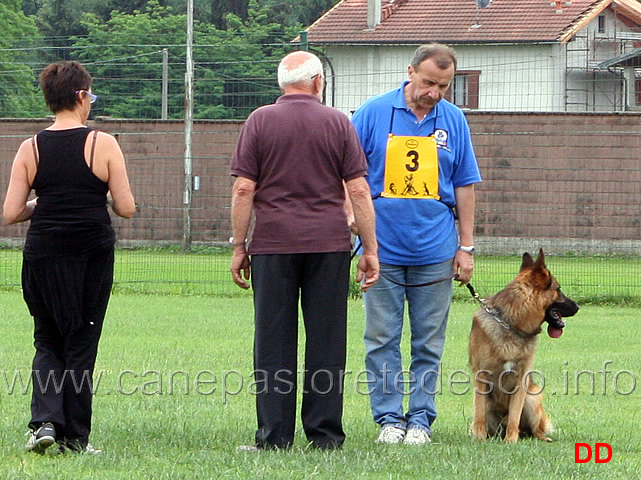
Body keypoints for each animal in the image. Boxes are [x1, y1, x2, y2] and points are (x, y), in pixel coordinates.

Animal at [468, 251, 576, 442]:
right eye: (559, 289)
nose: (578, 307)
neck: (511, 324)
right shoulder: (481, 377)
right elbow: (479, 416)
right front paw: (479, 439)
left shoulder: (521, 380)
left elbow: (514, 416)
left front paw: (511, 441)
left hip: (532, 399)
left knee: (534, 430)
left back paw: (539, 437)